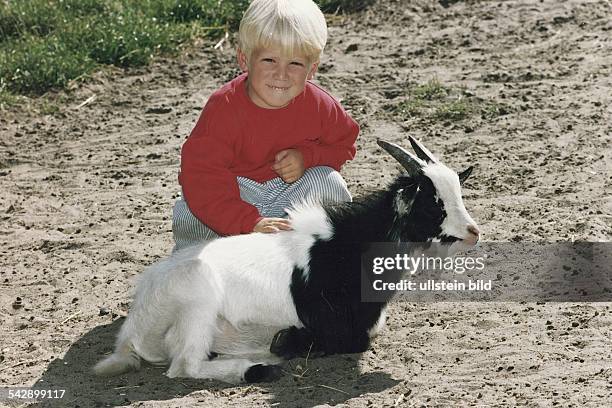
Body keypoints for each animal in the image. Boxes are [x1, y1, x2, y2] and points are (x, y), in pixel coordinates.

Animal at [94, 136, 478, 382]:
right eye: (433, 202)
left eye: (457, 193)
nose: (473, 232)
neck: (345, 246)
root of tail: (132, 330)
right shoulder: (334, 324)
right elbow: (351, 340)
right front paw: (289, 341)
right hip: (198, 302)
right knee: (185, 366)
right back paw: (259, 366)